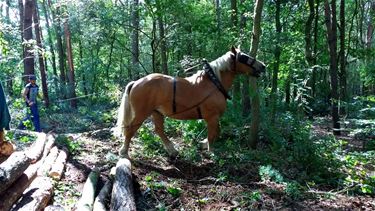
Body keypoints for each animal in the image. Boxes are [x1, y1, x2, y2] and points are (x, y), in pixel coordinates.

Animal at [117, 46, 268, 158]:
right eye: (244, 57)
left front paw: (203, 144)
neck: (214, 83)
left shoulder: (214, 118)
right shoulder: (212, 117)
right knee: (130, 130)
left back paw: (172, 150)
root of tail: (136, 82)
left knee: (159, 130)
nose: (263, 66)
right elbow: (213, 134)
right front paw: (211, 151)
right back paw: (124, 152)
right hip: (142, 113)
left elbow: (217, 132)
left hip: (156, 112)